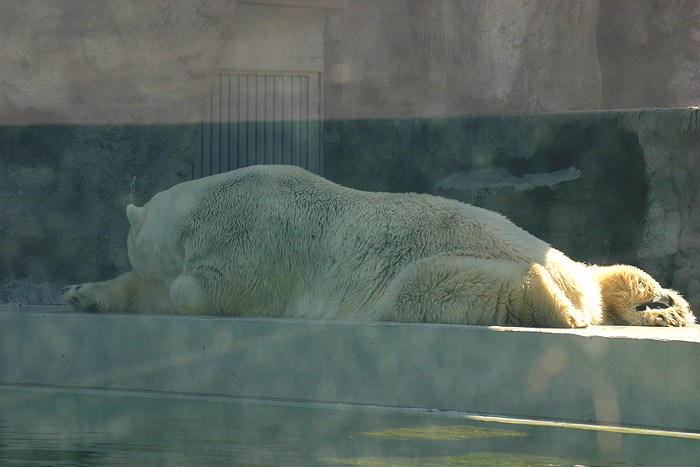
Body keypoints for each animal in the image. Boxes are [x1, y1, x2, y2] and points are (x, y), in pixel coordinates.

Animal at [64, 165, 696, 330]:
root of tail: (575, 288)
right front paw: (80, 293)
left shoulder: (247, 238)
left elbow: (208, 291)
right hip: (571, 261)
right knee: (603, 269)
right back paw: (659, 303)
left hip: (420, 274)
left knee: (450, 290)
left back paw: (555, 305)